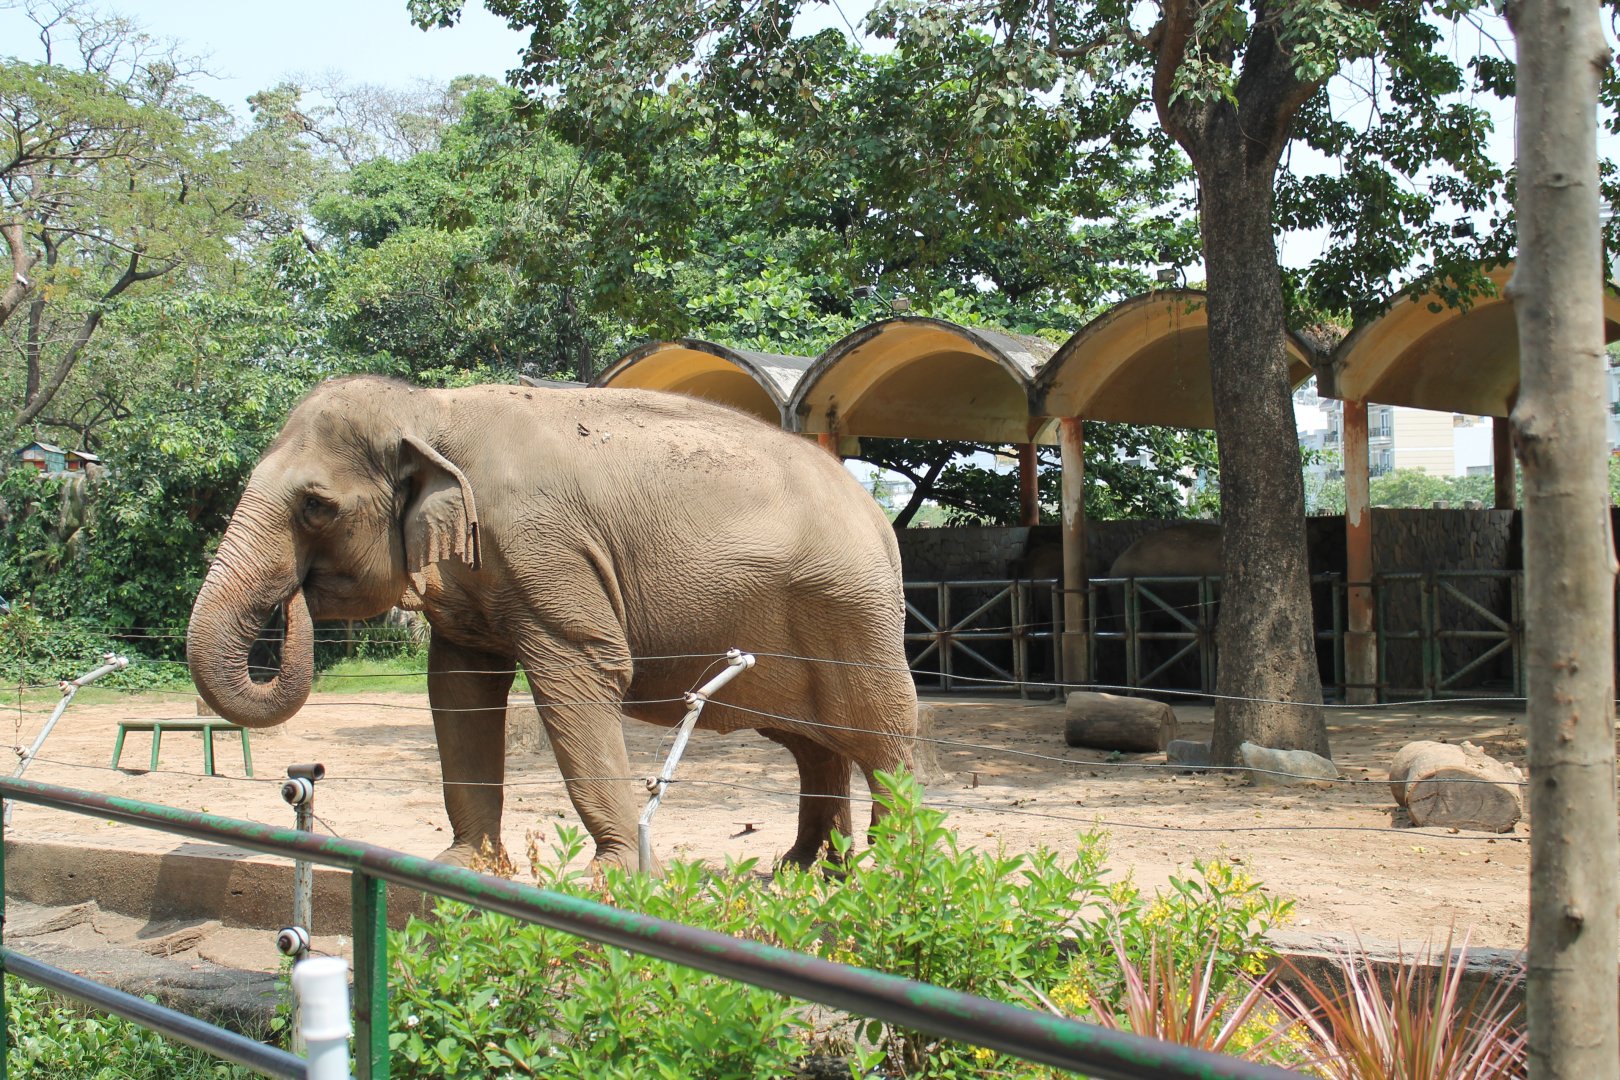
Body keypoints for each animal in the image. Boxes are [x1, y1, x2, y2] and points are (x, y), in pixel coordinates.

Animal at [187, 375, 918, 871]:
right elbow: (459, 688)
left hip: (853, 615)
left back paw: (895, 871)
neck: (430, 408)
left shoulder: (547, 552)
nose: (295, 597)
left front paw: (616, 878)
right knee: (813, 745)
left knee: (881, 739)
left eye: (316, 506)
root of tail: (876, 516)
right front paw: (464, 867)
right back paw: (809, 873)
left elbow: (585, 671)